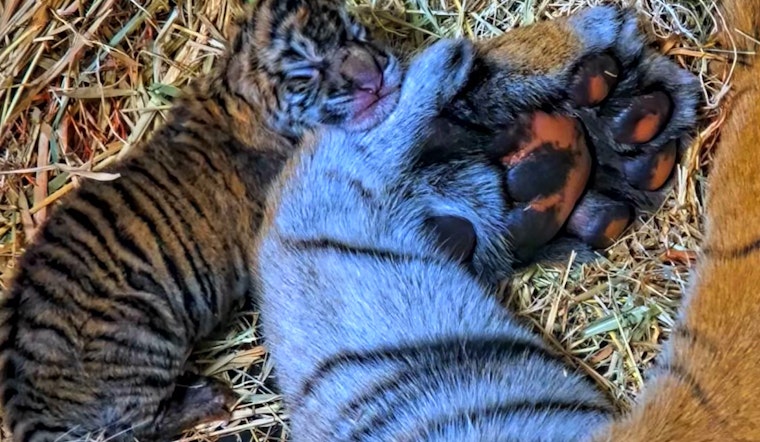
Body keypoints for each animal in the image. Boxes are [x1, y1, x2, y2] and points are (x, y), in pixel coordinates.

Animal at [0, 0, 405, 439]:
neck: (241, 101)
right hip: (144, 333)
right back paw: (211, 397)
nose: (374, 77)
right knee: (144, 424)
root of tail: (23, 402)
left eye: (358, 35)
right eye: (306, 72)